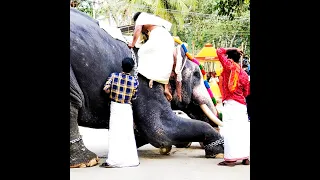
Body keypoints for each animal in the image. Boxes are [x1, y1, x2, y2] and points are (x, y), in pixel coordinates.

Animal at [70, 7, 222, 168]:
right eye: (197, 75)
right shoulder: (147, 83)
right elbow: (160, 130)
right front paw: (218, 150)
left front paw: (170, 147)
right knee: (73, 103)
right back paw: (87, 161)